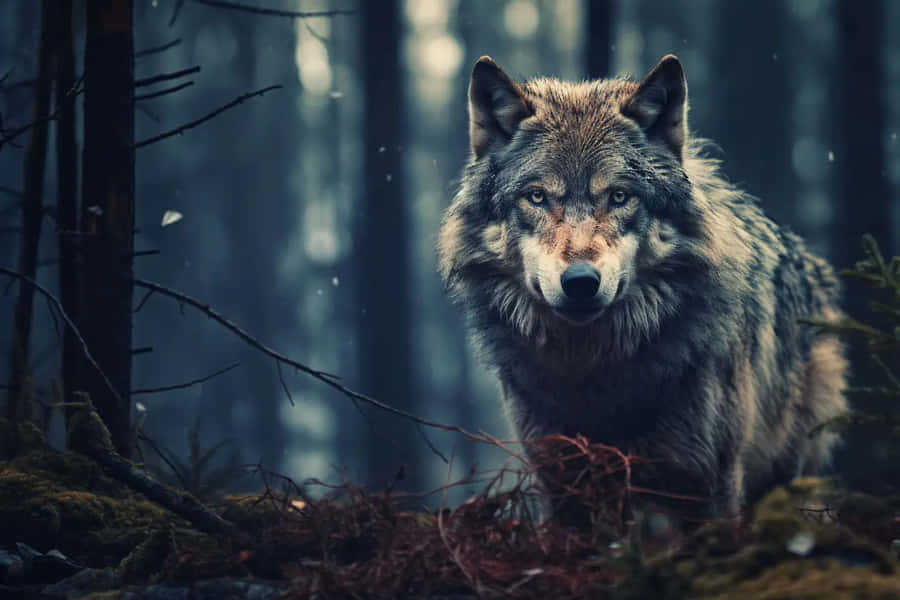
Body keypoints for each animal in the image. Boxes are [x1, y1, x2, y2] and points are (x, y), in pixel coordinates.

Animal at [438, 54, 847, 517]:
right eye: (537, 197)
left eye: (619, 196)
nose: (581, 282)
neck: (591, 368)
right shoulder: (560, 485)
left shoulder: (710, 483)